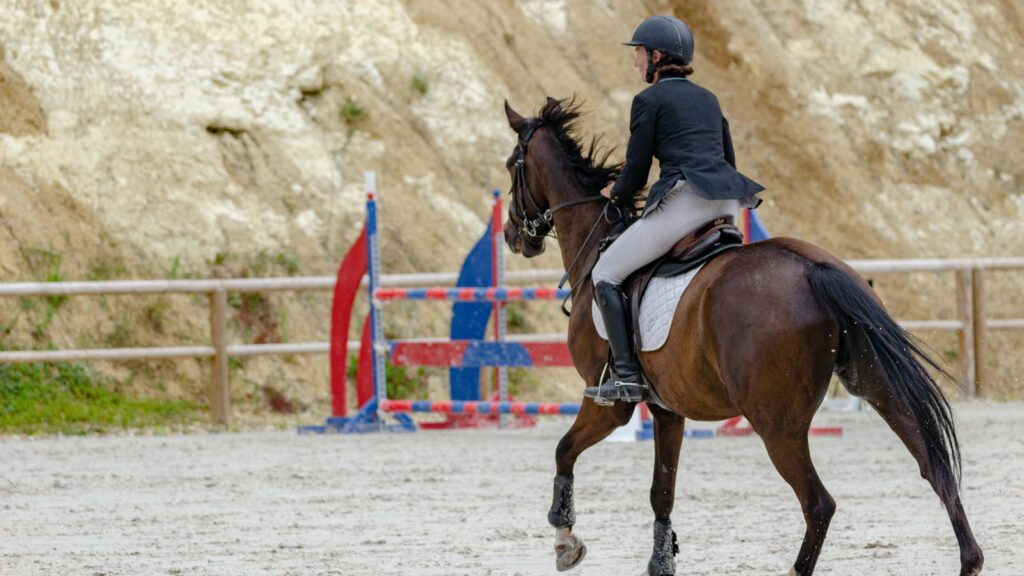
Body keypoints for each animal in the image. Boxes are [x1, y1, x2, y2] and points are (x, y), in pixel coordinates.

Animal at [501, 97, 983, 576]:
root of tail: (813, 268)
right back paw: (970, 560)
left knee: (819, 503)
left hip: (775, 422)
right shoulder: (667, 410)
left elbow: (564, 451)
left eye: (511, 165)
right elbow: (662, 492)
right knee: (933, 466)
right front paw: (660, 562)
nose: (511, 236)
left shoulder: (608, 403)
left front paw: (566, 540)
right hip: (873, 382)